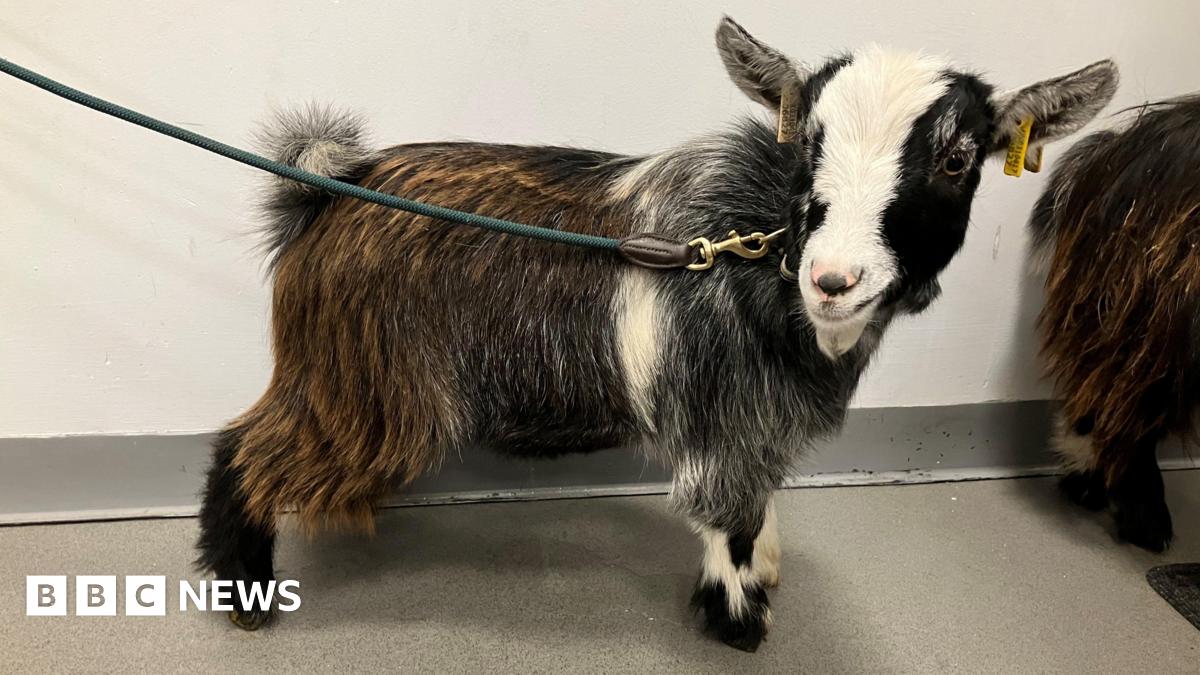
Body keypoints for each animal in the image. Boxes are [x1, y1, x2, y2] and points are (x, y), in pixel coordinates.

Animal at [196, 16, 1117, 651]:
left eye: (958, 159)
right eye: (810, 144)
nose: (835, 278)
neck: (760, 253)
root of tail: (324, 194)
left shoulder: (761, 423)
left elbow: (761, 504)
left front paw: (766, 574)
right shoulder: (724, 419)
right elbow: (729, 515)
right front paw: (740, 620)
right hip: (364, 391)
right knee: (246, 444)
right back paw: (243, 594)